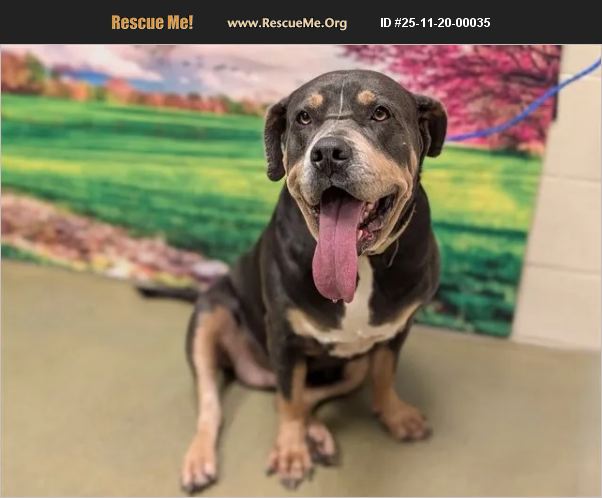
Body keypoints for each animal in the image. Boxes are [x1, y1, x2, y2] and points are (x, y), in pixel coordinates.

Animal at [178, 69, 447, 492]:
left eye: (381, 113)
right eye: (303, 118)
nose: (329, 152)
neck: (362, 262)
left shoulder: (397, 330)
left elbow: (384, 375)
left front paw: (395, 414)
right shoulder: (284, 337)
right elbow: (289, 402)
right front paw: (291, 452)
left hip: (351, 367)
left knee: (303, 394)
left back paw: (317, 433)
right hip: (210, 315)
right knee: (216, 401)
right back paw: (201, 457)